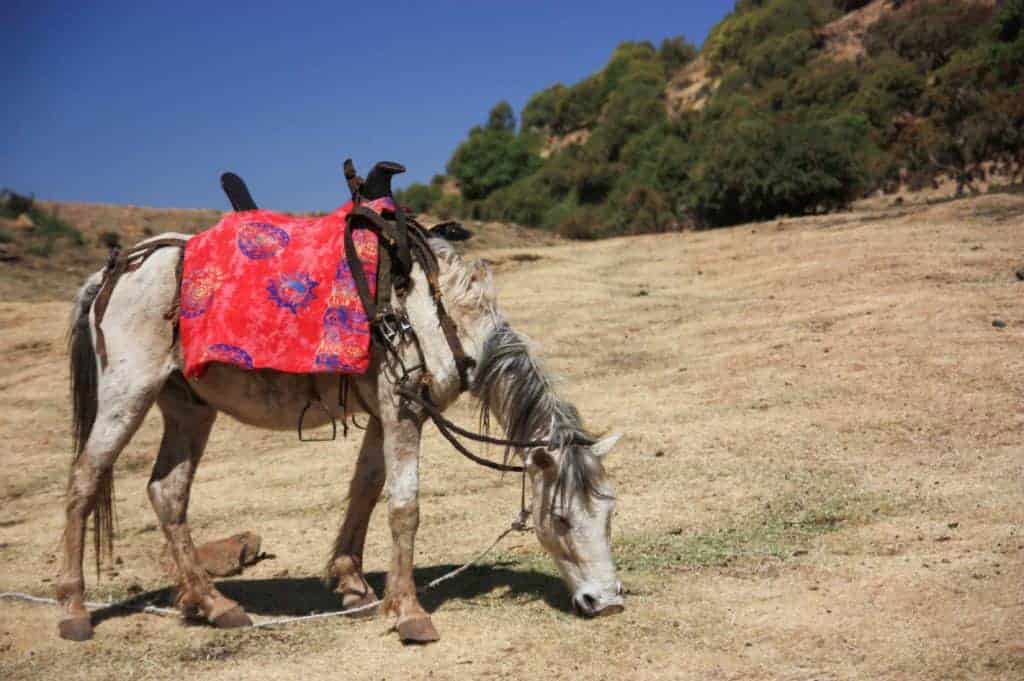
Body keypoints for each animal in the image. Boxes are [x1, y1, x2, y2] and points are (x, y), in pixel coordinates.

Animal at [57, 227, 624, 643]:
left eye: (609, 514)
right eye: (560, 518)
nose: (607, 602)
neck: (436, 315)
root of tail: (113, 271)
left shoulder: (384, 414)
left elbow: (366, 490)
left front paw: (355, 588)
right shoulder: (401, 412)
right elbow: (404, 507)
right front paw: (410, 613)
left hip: (188, 408)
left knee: (167, 492)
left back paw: (215, 605)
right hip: (128, 393)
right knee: (84, 481)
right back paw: (74, 610)